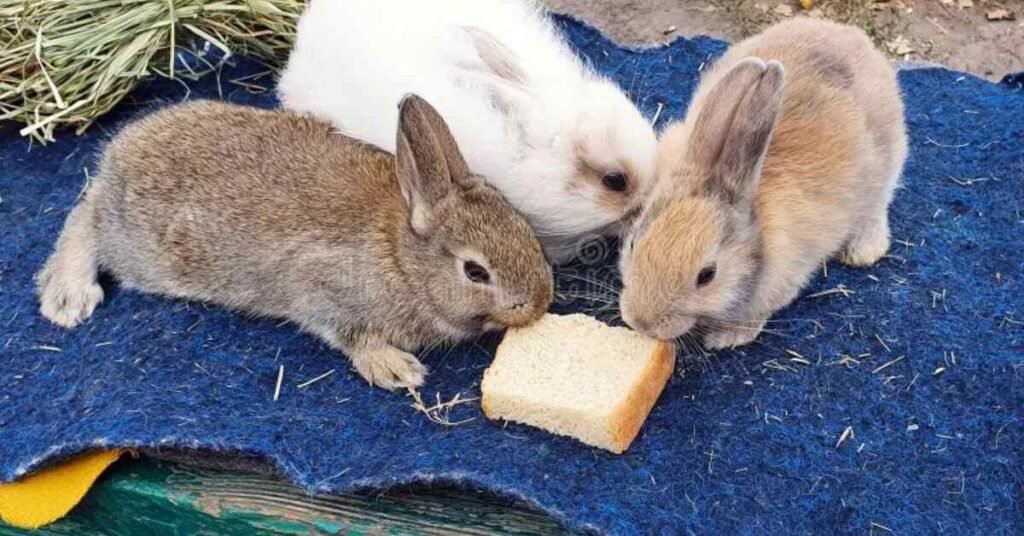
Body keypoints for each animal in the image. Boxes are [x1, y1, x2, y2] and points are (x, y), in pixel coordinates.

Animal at [36, 95, 554, 390]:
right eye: (475, 272)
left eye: (525, 229)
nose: (537, 305)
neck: (403, 259)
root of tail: (118, 154)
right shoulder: (323, 289)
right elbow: (349, 332)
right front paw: (395, 369)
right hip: (136, 248)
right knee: (84, 218)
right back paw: (67, 296)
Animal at [618, 18, 908, 349]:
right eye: (632, 243)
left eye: (707, 275)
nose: (642, 322)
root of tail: (853, 36)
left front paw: (727, 337)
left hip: (887, 165)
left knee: (878, 204)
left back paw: (864, 250)